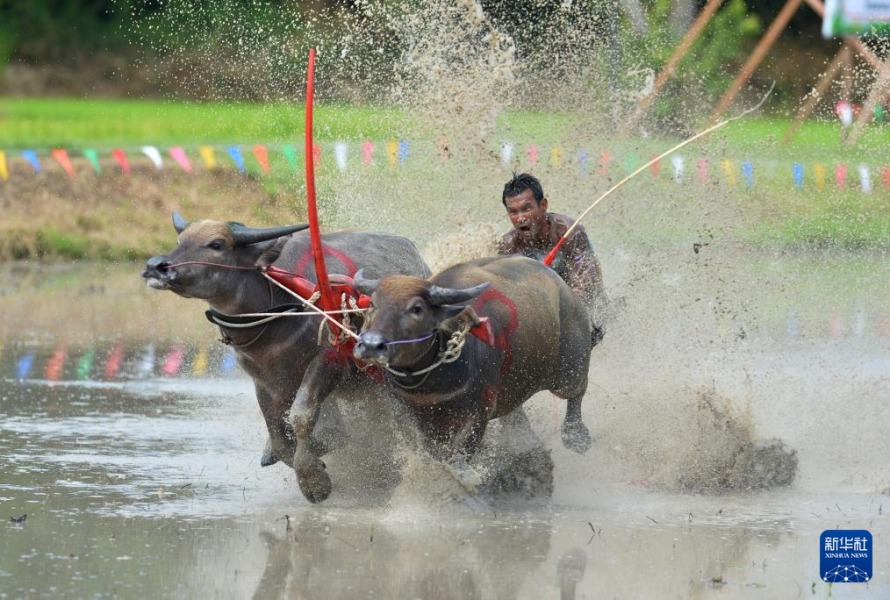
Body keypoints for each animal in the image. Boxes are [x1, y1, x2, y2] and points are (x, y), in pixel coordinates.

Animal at [140, 211, 428, 502]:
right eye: (180, 240)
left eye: (216, 244)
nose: (156, 266)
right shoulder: (264, 380)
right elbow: (280, 435)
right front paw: (300, 454)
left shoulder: (329, 362)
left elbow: (302, 417)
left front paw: (313, 481)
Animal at [352, 253, 588, 488]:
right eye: (372, 303)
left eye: (416, 309)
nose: (371, 344)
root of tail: (562, 287)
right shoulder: (405, 411)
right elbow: (428, 449)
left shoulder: (480, 409)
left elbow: (463, 450)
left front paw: (466, 475)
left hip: (569, 370)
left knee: (578, 391)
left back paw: (576, 436)